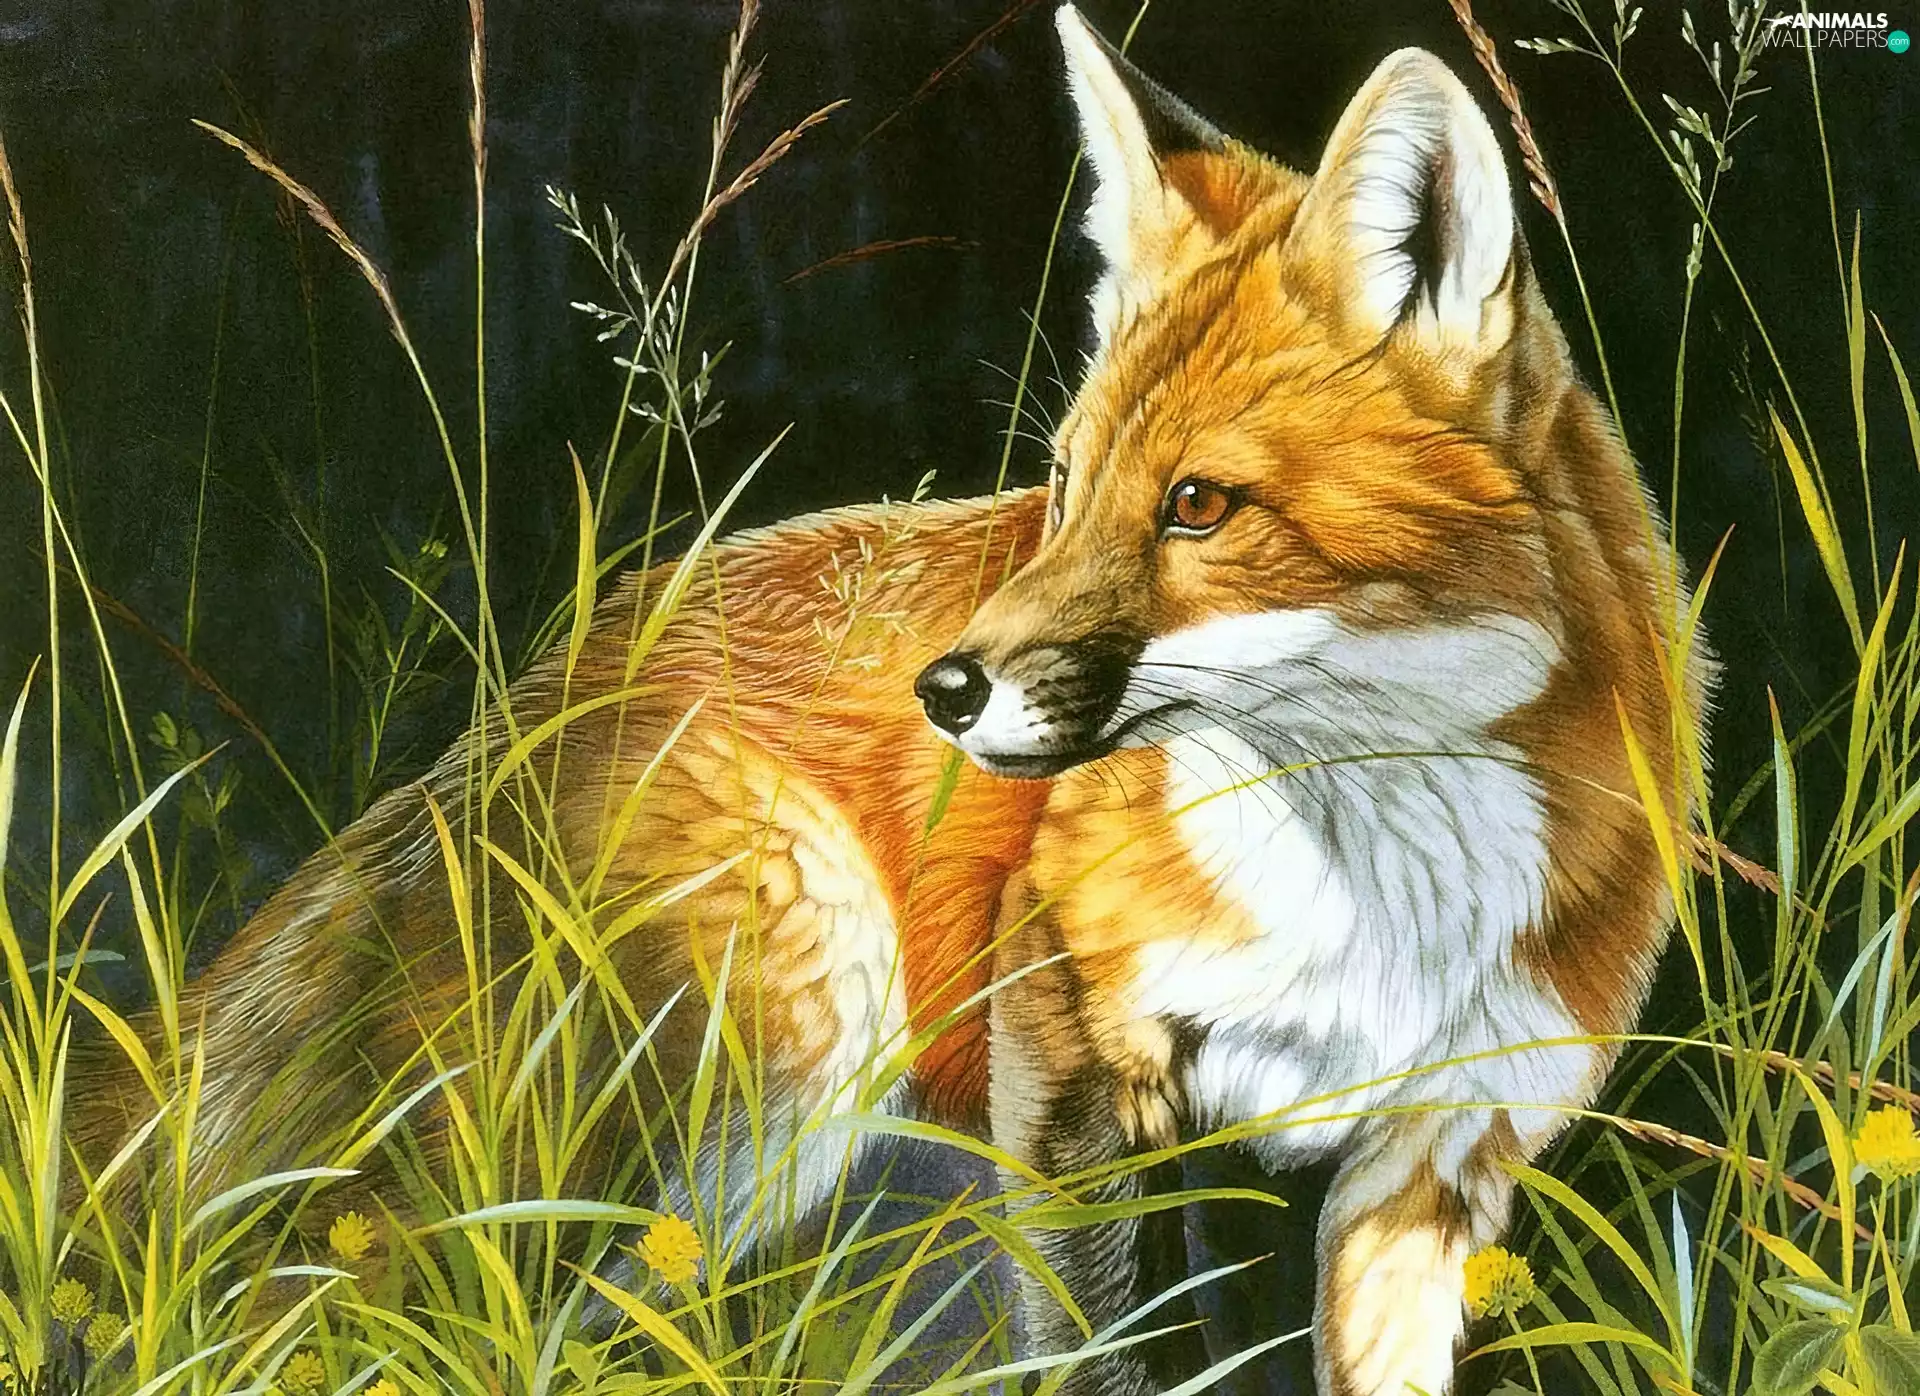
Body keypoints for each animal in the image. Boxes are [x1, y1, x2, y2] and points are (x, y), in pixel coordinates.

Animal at [911, 9, 1709, 1396]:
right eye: (1065, 483)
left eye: (1196, 504)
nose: (946, 689)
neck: (1375, 909)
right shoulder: (1065, 1043)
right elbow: (1093, 1349)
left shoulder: (1438, 1151)